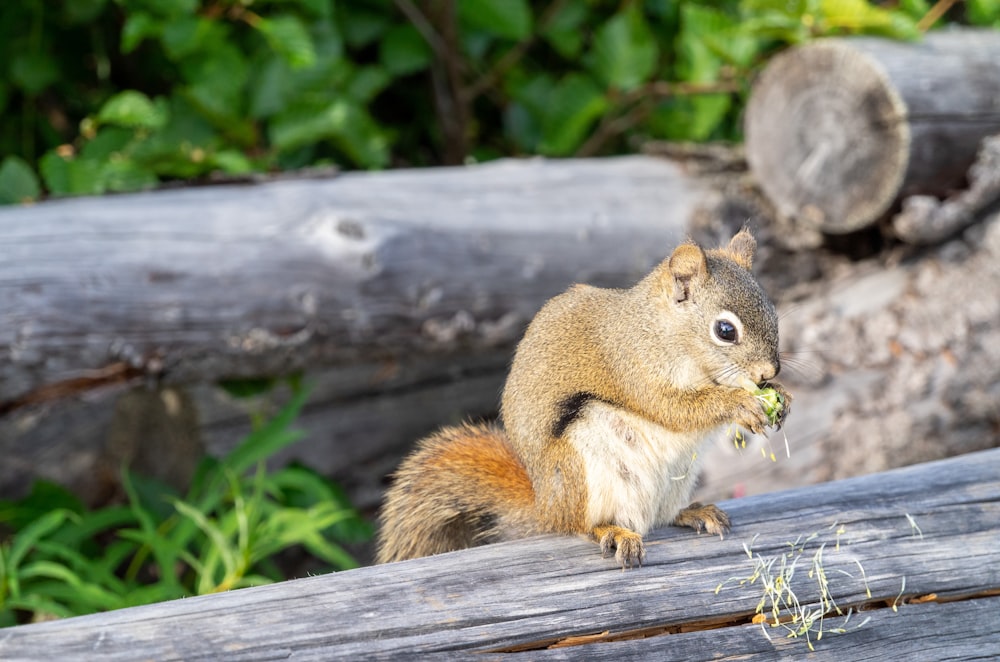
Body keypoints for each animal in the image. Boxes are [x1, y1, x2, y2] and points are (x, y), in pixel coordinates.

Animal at [374, 231, 788, 568]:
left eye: (773, 313)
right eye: (725, 330)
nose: (768, 372)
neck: (662, 332)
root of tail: (547, 507)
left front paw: (781, 398)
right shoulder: (631, 366)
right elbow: (671, 408)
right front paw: (741, 404)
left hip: (679, 477)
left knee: (661, 516)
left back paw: (694, 513)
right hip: (586, 468)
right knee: (582, 525)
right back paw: (613, 532)